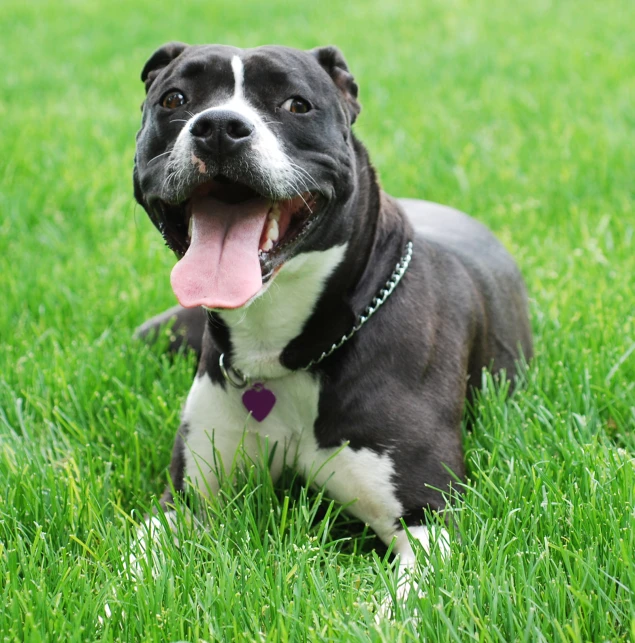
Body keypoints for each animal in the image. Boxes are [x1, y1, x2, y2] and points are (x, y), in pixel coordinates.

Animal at [132, 42, 536, 588]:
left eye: (296, 104)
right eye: (174, 98)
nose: (217, 127)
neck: (280, 353)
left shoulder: (430, 518)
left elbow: (407, 599)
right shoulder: (186, 499)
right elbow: (130, 567)